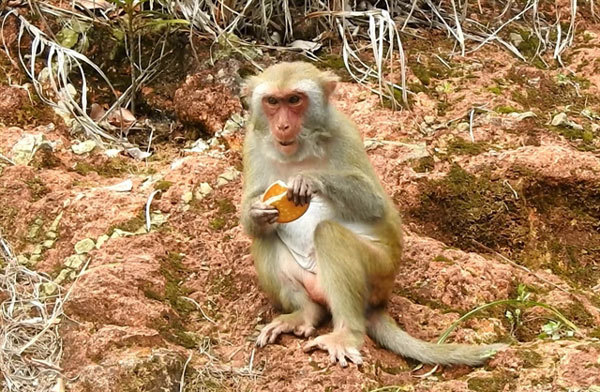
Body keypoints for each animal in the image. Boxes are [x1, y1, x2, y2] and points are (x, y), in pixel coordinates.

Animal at [239, 61, 506, 368]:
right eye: (272, 102)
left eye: (294, 100)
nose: (282, 125)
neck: (299, 151)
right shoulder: (252, 144)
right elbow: (253, 214)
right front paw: (256, 212)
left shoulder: (344, 133)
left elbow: (373, 202)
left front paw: (309, 180)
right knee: (264, 237)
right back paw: (304, 313)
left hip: (379, 274)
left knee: (330, 234)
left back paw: (346, 333)